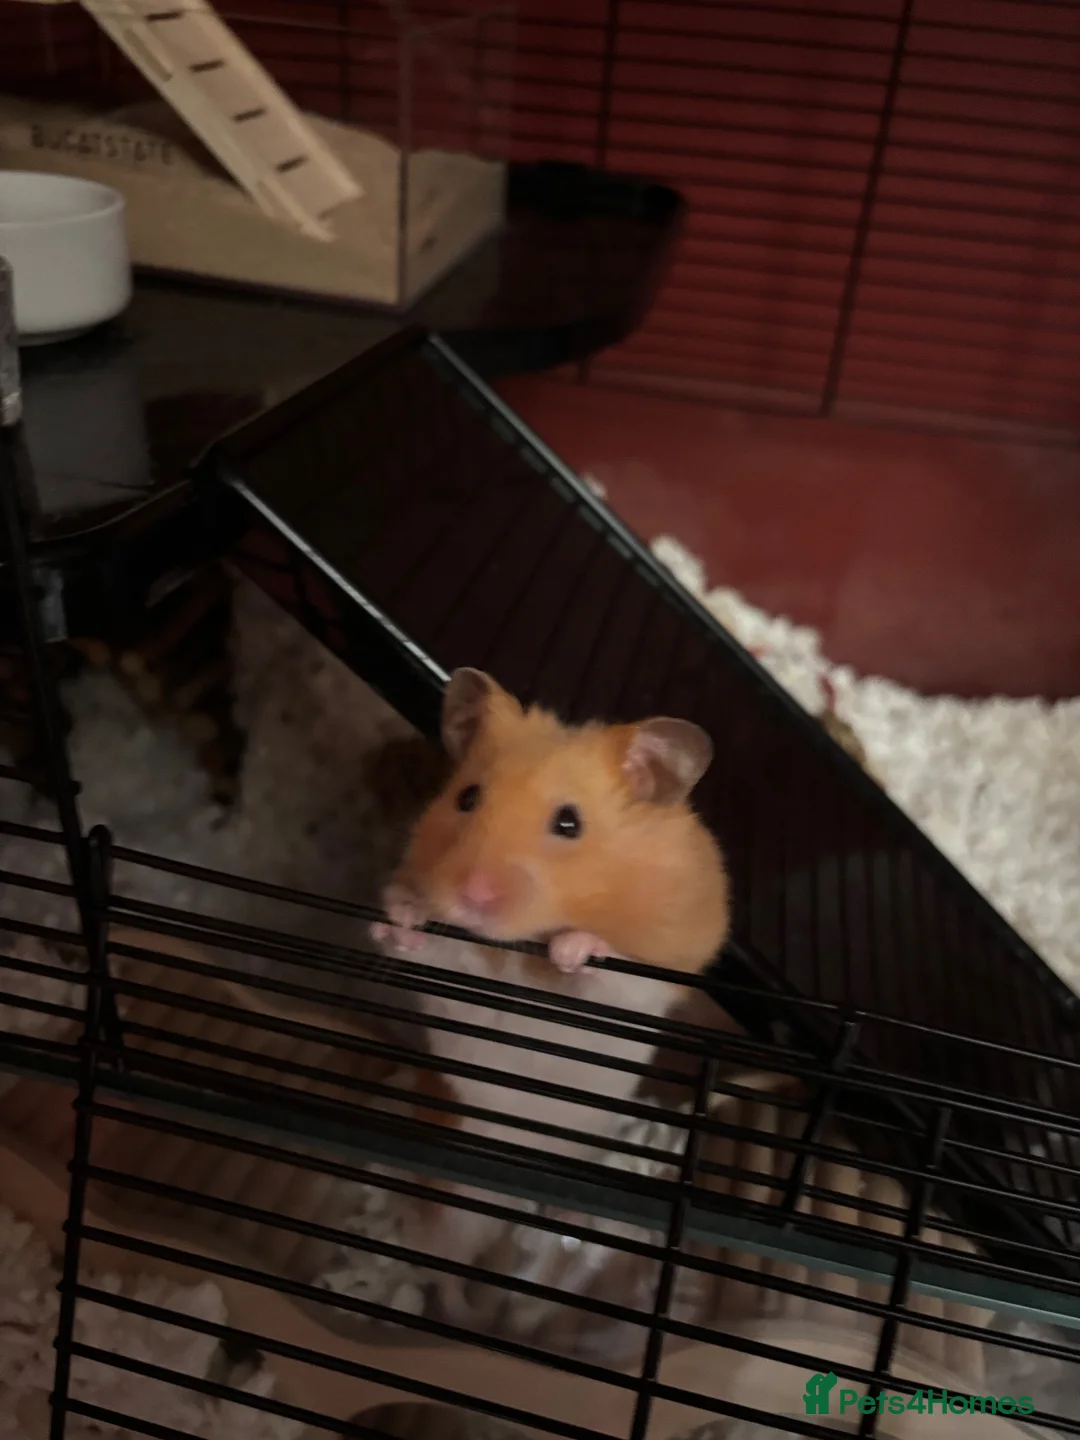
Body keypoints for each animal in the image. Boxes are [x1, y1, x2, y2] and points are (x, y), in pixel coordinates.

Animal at [369, 667, 731, 1302]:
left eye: (569, 823)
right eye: (467, 798)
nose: (474, 896)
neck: (519, 949)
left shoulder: (654, 975)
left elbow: (604, 977)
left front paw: (574, 948)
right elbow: (440, 953)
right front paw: (399, 918)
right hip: (458, 1200)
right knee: (441, 1262)